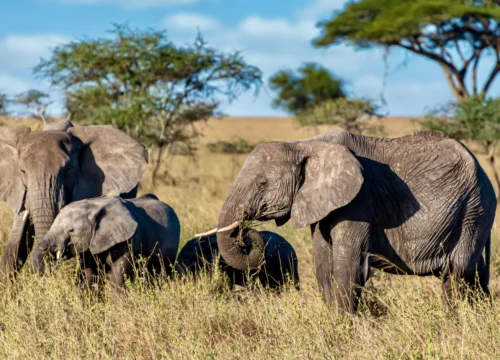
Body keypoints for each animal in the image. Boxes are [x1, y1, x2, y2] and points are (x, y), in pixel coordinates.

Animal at [198, 130, 496, 316]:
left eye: (262, 183)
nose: (246, 234)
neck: (305, 144)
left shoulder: (359, 200)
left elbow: (347, 265)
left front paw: (344, 325)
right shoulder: (321, 203)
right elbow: (322, 264)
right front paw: (332, 321)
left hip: (473, 208)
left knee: (457, 271)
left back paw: (456, 320)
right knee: (472, 272)